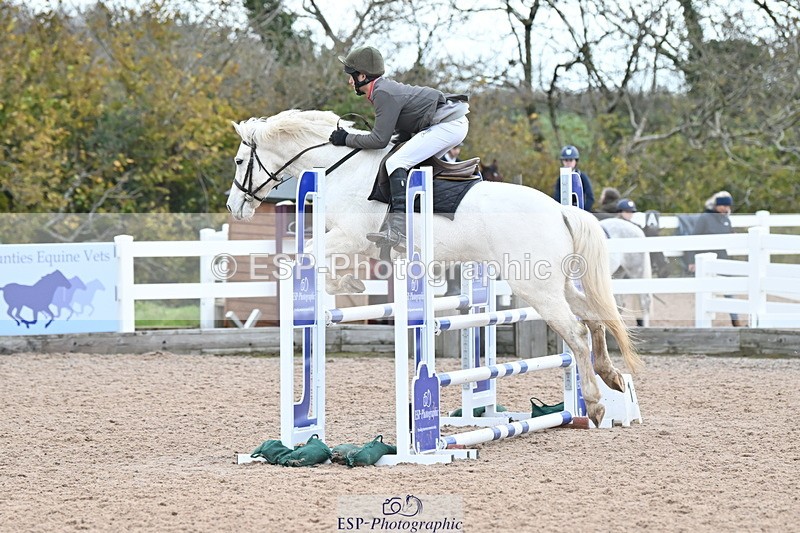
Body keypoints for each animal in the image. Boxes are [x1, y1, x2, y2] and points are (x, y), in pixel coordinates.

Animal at [225, 109, 640, 427]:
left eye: (240, 161)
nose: (234, 207)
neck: (341, 167)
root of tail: (560, 210)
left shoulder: (351, 235)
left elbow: (311, 253)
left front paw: (337, 293)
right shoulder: (357, 240)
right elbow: (324, 257)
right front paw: (348, 287)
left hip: (534, 287)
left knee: (576, 332)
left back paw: (595, 403)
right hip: (555, 283)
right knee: (595, 318)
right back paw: (612, 378)